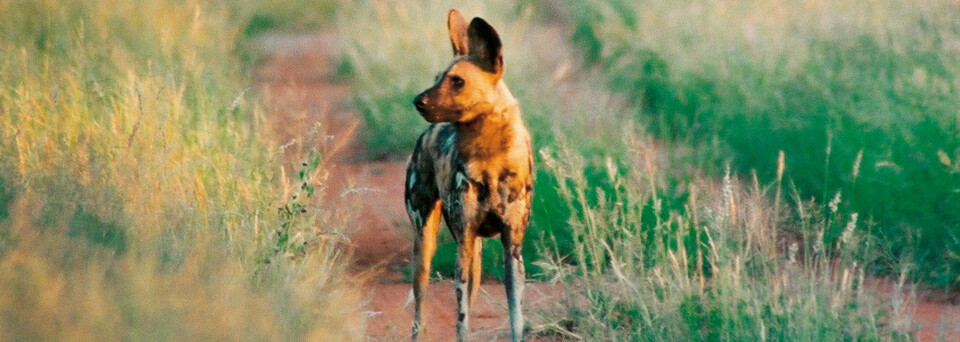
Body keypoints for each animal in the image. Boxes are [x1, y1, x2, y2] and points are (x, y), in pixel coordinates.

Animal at [404, 8, 532, 342]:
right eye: (437, 78)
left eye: (457, 81)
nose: (417, 100)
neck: (489, 156)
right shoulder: (462, 242)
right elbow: (462, 321)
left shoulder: (512, 248)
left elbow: (516, 318)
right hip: (425, 247)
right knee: (419, 313)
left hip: (475, 258)